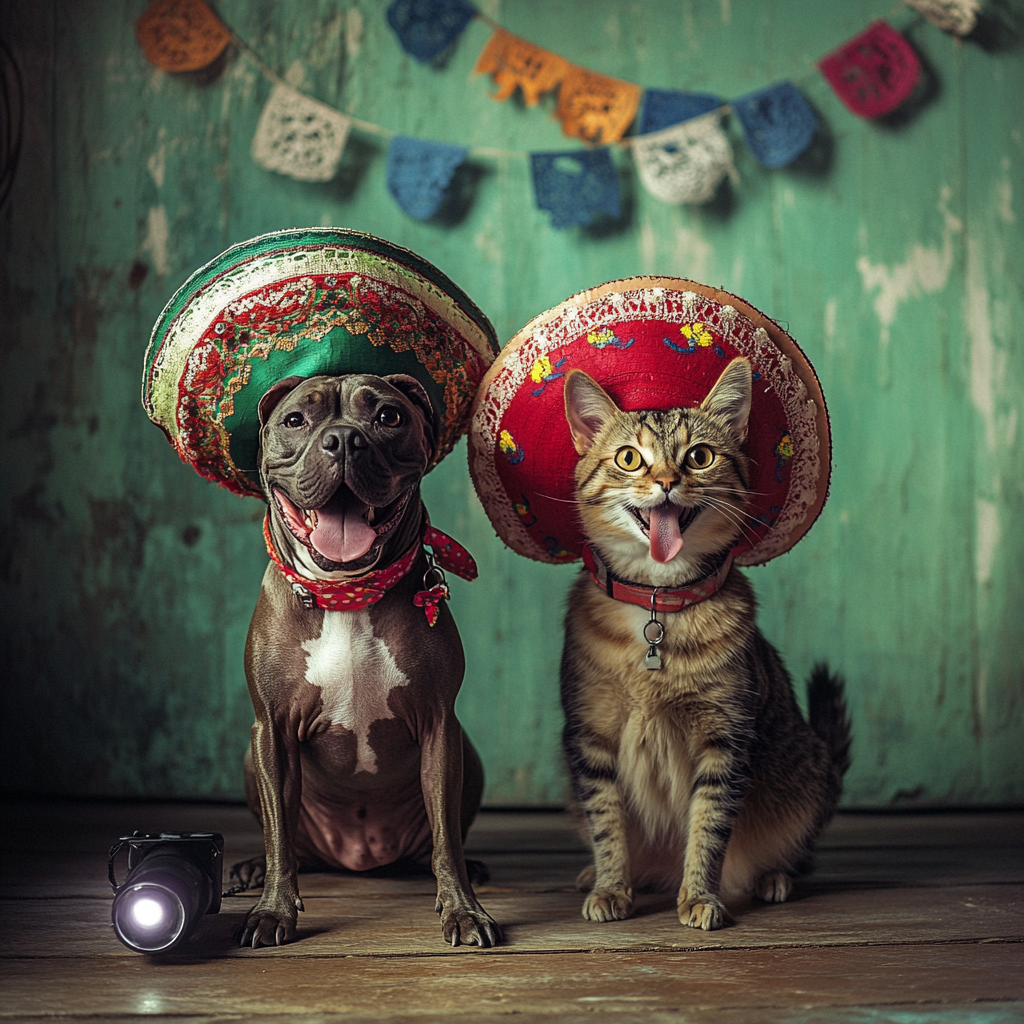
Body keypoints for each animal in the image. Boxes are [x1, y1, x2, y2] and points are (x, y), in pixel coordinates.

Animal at [233, 372, 503, 946]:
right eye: (296, 420)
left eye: (388, 417)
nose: (342, 440)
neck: (345, 595)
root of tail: (357, 856)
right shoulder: (272, 730)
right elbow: (278, 836)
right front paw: (272, 911)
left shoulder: (439, 726)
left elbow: (448, 838)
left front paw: (464, 909)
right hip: (252, 756)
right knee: (291, 844)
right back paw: (250, 868)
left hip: (469, 755)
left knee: (437, 843)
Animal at [561, 356, 847, 933]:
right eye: (629, 458)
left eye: (700, 456)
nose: (668, 482)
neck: (657, 607)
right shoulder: (589, 737)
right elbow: (607, 824)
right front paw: (610, 885)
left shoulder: (725, 741)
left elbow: (709, 828)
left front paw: (698, 895)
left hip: (805, 778)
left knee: (794, 852)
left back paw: (773, 878)